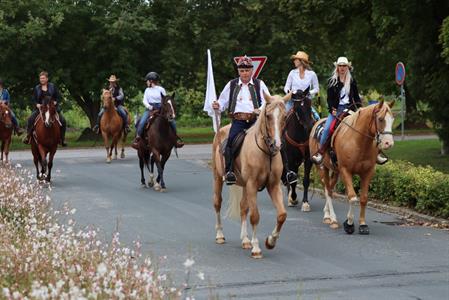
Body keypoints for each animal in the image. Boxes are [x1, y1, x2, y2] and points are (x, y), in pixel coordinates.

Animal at [211, 93, 288, 258]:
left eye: (285, 116)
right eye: (268, 115)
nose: (277, 145)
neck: (265, 152)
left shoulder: (273, 186)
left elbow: (281, 215)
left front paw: (270, 241)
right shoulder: (252, 184)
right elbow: (255, 216)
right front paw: (256, 248)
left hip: (245, 185)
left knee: (243, 207)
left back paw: (245, 240)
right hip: (218, 178)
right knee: (217, 203)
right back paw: (220, 235)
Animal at [308, 101, 392, 234]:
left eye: (392, 119)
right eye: (380, 119)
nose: (389, 143)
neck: (358, 142)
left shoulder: (367, 172)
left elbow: (363, 198)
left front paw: (362, 224)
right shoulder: (345, 171)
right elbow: (352, 198)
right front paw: (349, 224)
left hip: (335, 172)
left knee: (330, 189)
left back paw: (328, 214)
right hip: (322, 168)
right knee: (327, 190)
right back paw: (331, 218)